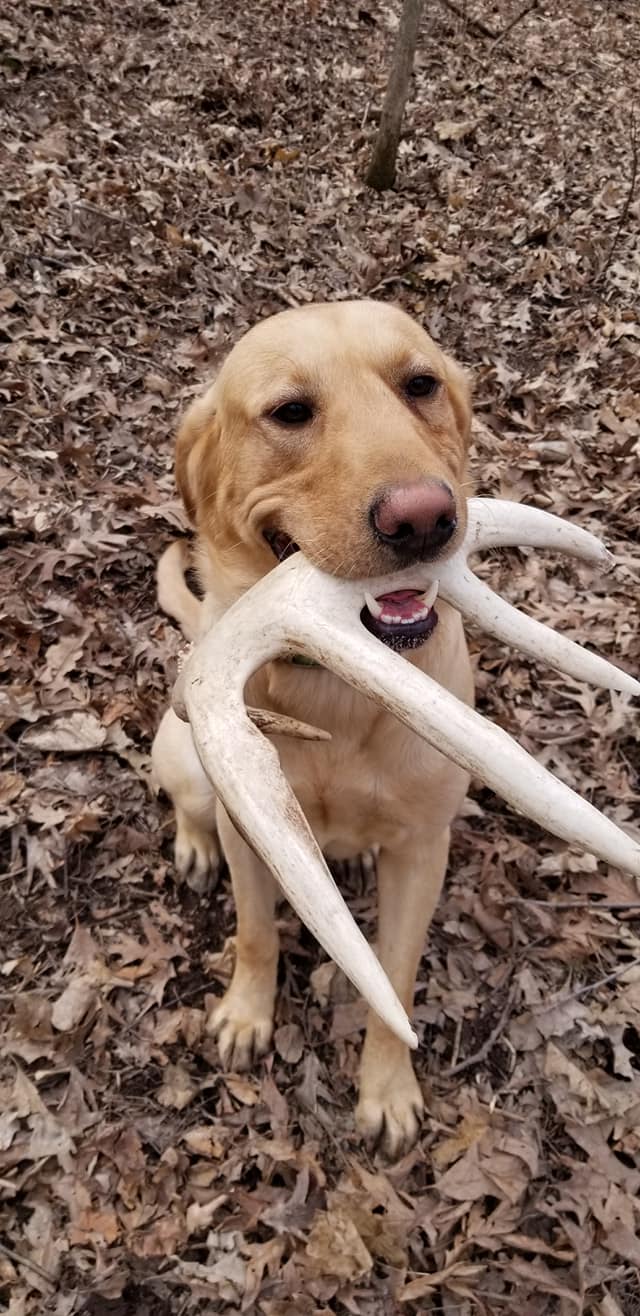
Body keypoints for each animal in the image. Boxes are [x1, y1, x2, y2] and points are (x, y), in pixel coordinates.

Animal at [154, 296, 474, 1152]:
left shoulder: (424, 850)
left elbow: (394, 977)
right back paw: (192, 845)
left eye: (420, 384)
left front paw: (387, 1089)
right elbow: (257, 931)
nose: (423, 518)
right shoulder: (251, 830)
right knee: (186, 804)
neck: (336, 675)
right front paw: (246, 1014)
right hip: (183, 754)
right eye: (291, 412)